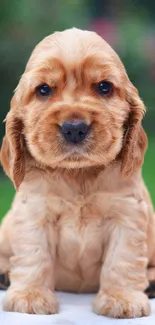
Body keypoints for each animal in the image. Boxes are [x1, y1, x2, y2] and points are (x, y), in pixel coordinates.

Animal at [0, 27, 155, 316]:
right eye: (44, 89)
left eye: (104, 87)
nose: (74, 128)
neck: (78, 174)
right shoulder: (34, 214)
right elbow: (34, 256)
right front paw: (30, 297)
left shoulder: (126, 215)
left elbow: (122, 259)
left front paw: (122, 299)